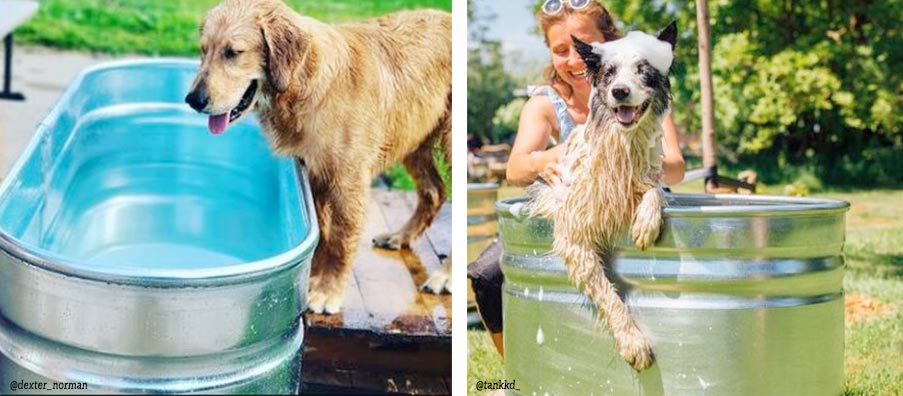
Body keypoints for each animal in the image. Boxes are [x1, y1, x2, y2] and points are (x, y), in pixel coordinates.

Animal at [185, 0, 452, 316]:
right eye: (204, 50)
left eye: (233, 52)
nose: (193, 100)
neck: (304, 82)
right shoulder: (313, 174)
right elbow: (322, 233)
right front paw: (313, 279)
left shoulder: (348, 180)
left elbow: (340, 241)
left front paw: (328, 292)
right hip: (414, 135)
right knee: (434, 191)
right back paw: (400, 236)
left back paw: (445, 276)